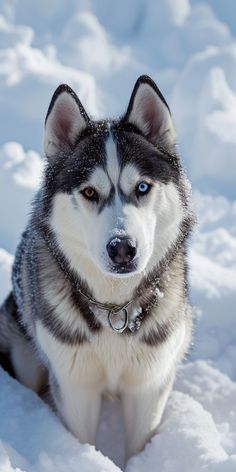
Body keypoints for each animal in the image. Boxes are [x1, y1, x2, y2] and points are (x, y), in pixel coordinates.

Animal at [0, 75, 194, 460]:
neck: (115, 309)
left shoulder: (148, 385)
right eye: (90, 192)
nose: (122, 249)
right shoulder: (75, 386)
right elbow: (81, 438)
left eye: (143, 187)